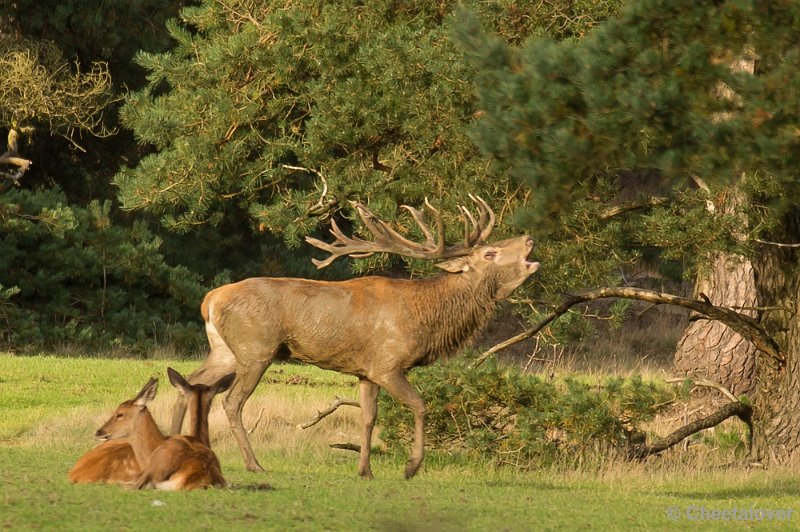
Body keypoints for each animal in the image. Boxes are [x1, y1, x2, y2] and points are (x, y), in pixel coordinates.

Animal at [172, 194, 540, 478]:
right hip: (256, 348)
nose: (529, 239)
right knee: (231, 401)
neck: (427, 319)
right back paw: (254, 465)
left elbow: (367, 418)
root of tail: (210, 299)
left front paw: (364, 470)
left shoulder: (366, 371)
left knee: (190, 384)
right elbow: (420, 405)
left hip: (225, 350)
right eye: (489, 253)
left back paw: (174, 444)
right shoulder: (388, 364)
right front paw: (411, 467)